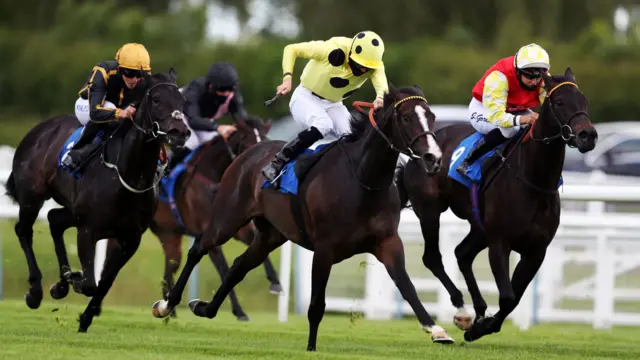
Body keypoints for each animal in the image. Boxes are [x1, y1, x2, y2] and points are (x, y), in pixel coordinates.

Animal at [5, 69, 190, 332]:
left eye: (182, 102)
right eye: (156, 100)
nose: (179, 132)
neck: (126, 175)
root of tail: (40, 128)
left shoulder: (130, 239)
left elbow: (105, 283)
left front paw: (84, 317)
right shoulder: (88, 229)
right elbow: (91, 283)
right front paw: (76, 281)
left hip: (71, 209)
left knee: (54, 219)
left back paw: (62, 283)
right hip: (32, 197)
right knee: (24, 230)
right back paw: (36, 291)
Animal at [149, 115, 282, 320]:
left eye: (265, 138)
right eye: (248, 143)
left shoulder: (237, 227)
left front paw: (275, 282)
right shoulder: (209, 233)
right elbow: (223, 269)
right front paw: (239, 311)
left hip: (169, 235)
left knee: (169, 267)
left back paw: (169, 309)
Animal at [392, 69, 596, 342]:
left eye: (584, 100)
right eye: (560, 102)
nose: (588, 135)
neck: (533, 181)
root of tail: (417, 151)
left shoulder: (536, 251)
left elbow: (514, 298)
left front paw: (484, 324)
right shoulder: (500, 242)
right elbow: (508, 296)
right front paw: (481, 327)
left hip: (479, 227)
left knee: (462, 253)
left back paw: (477, 310)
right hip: (430, 211)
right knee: (433, 257)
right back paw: (464, 311)